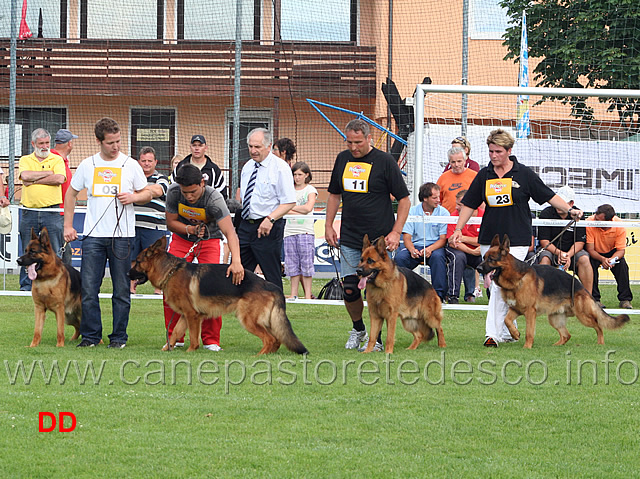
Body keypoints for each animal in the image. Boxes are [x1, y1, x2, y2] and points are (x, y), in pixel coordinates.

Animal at [127, 237, 308, 354]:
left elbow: (193, 338)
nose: (127, 274)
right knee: (277, 339)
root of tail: (272, 285)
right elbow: (175, 333)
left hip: (248, 319)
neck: (170, 272)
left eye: (137, 262)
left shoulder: (192, 316)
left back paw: (259, 356)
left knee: (270, 339)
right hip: (266, 321)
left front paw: (190, 352)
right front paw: (167, 348)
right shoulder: (186, 315)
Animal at [478, 233, 628, 348]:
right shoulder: (515, 309)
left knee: (598, 326)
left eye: (491, 259)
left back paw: (600, 343)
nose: (478, 269)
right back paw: (555, 346)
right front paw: (515, 334)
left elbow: (529, 332)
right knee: (567, 335)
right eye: (483, 258)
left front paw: (527, 347)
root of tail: (581, 286)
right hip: (554, 318)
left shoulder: (530, 312)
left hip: (582, 315)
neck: (517, 277)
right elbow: (506, 321)